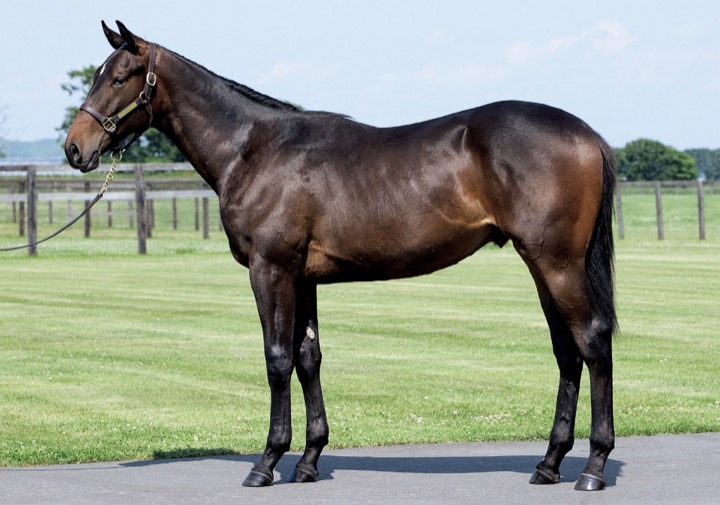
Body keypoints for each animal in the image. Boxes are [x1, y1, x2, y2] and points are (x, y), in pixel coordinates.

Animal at [65, 21, 617, 491]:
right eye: (95, 76)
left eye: (118, 77)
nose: (74, 148)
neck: (254, 149)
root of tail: (587, 134)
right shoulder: (302, 277)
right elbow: (308, 359)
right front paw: (308, 462)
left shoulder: (271, 270)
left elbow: (277, 359)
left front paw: (266, 463)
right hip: (542, 266)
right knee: (567, 351)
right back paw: (549, 464)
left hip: (556, 263)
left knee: (591, 342)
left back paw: (593, 467)